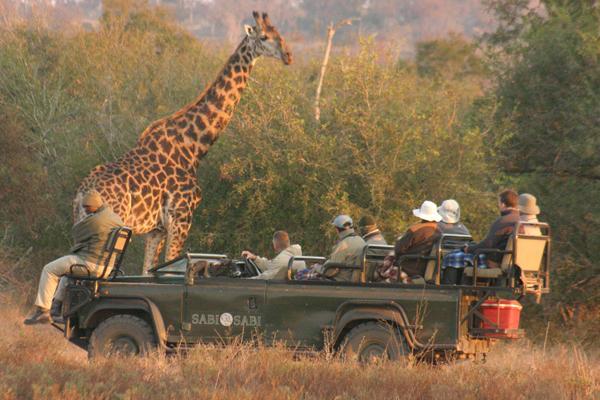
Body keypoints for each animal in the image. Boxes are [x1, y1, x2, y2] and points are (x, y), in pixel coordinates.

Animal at [74, 13, 294, 276]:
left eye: (280, 34)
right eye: (264, 37)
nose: (288, 55)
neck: (194, 147)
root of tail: (83, 191)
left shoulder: (156, 229)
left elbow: (148, 271)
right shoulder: (181, 219)